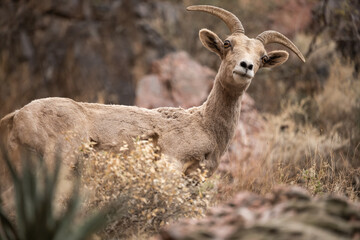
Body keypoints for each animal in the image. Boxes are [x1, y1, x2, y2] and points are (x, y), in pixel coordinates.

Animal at [0, 5, 306, 178]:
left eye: (263, 57)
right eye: (228, 43)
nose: (246, 66)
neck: (204, 125)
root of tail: (17, 117)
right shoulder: (172, 165)